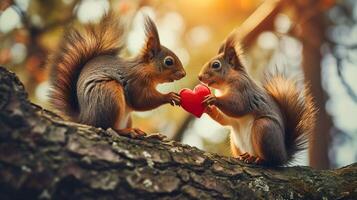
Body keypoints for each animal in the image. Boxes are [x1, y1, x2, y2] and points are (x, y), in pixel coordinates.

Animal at [47, 11, 185, 136]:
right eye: (168, 61)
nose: (184, 74)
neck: (143, 68)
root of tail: (84, 118)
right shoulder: (135, 81)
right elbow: (141, 100)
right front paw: (169, 96)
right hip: (108, 95)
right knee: (107, 126)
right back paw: (127, 131)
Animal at [197, 34, 314, 167]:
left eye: (216, 65)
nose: (199, 77)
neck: (224, 85)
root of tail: (283, 156)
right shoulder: (231, 117)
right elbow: (225, 120)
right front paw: (207, 109)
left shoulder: (243, 89)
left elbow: (238, 107)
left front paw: (214, 99)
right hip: (235, 140)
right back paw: (245, 156)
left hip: (264, 127)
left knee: (272, 160)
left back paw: (259, 159)